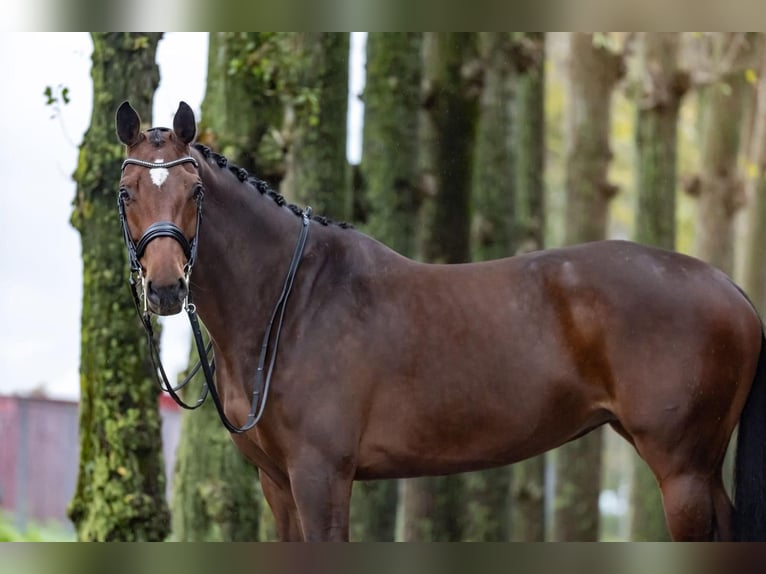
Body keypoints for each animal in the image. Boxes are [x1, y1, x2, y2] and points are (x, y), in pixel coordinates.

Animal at [114, 101, 766, 544]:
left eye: (195, 191)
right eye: (126, 191)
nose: (167, 287)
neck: (292, 302)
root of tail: (728, 287)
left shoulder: (322, 475)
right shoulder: (278, 484)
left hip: (681, 469)